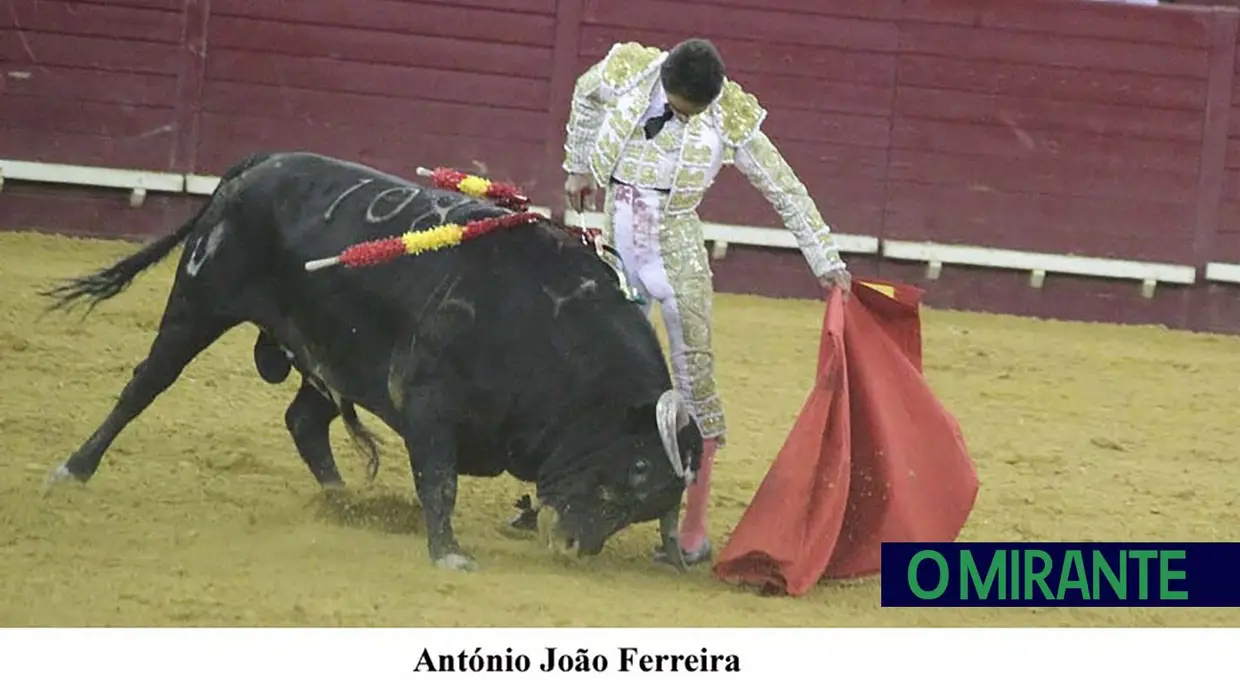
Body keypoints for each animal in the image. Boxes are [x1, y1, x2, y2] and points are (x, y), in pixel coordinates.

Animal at [43, 151, 704, 570]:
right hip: (199, 304)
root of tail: (261, 164)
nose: (570, 545)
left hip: (328, 351)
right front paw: (448, 554)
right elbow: (438, 480)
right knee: (145, 385)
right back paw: (74, 469)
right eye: (637, 468)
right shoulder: (430, 403)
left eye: (655, 501)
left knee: (304, 421)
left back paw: (344, 502)